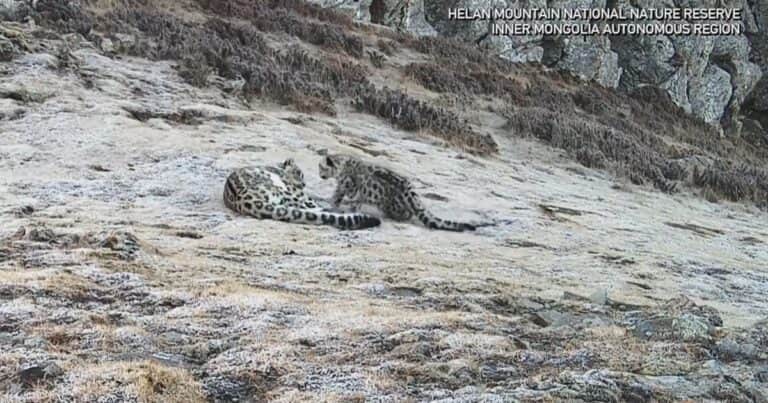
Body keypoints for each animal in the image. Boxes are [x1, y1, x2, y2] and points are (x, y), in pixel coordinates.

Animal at [318, 154, 477, 232]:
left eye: (321, 167)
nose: (319, 175)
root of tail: (411, 193)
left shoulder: (349, 187)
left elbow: (343, 197)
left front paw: (336, 204)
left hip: (390, 206)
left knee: (406, 214)